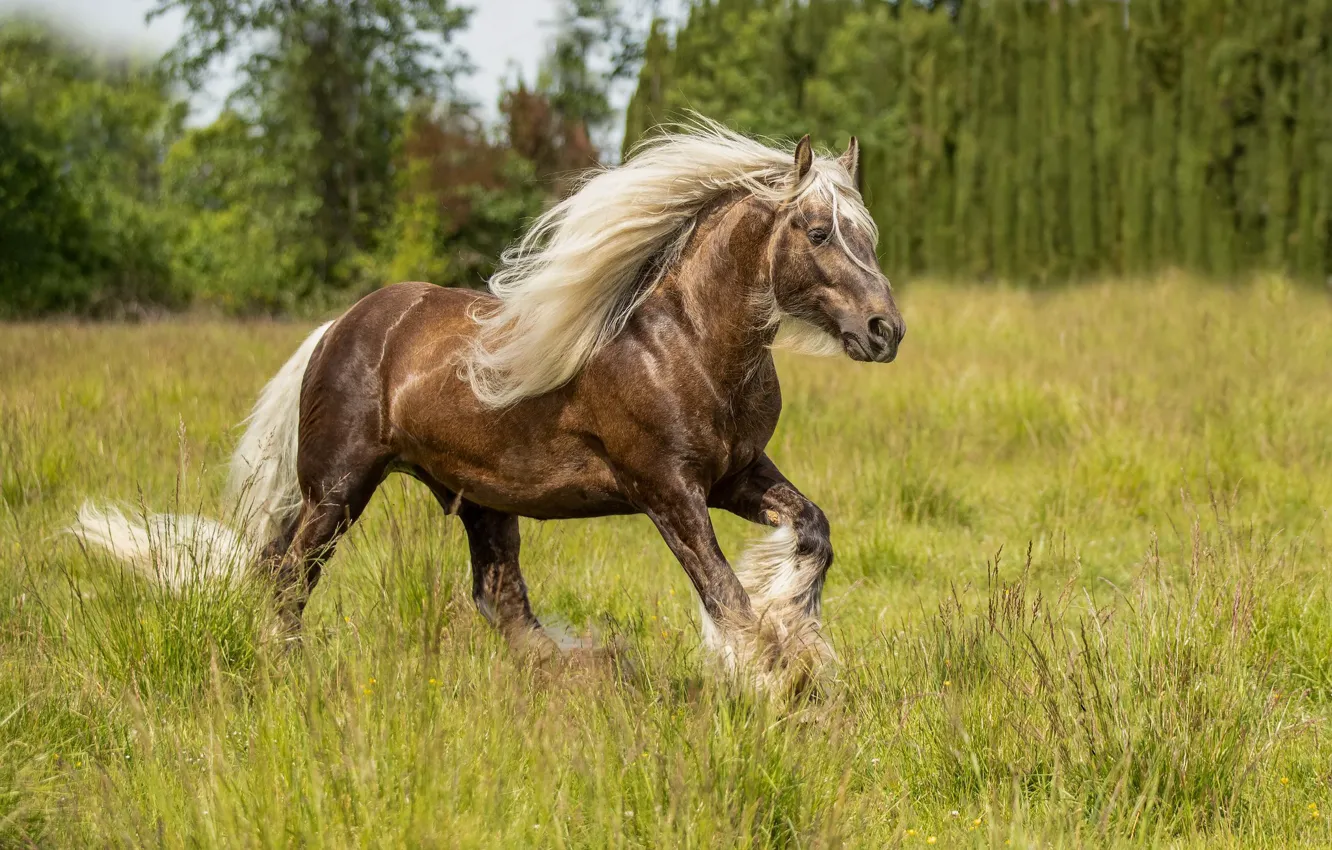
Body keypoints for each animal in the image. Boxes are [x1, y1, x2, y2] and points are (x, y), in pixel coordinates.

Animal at [74, 122, 905, 689]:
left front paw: (799, 648)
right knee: (288, 573)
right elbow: (724, 594)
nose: (884, 330)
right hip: (339, 486)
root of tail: (339, 327)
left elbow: (812, 532)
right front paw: (772, 682)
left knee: (498, 599)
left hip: (481, 499)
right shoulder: (668, 488)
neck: (686, 341)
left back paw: (589, 665)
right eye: (820, 232)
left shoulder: (737, 474)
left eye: (869, 233)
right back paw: (287, 665)